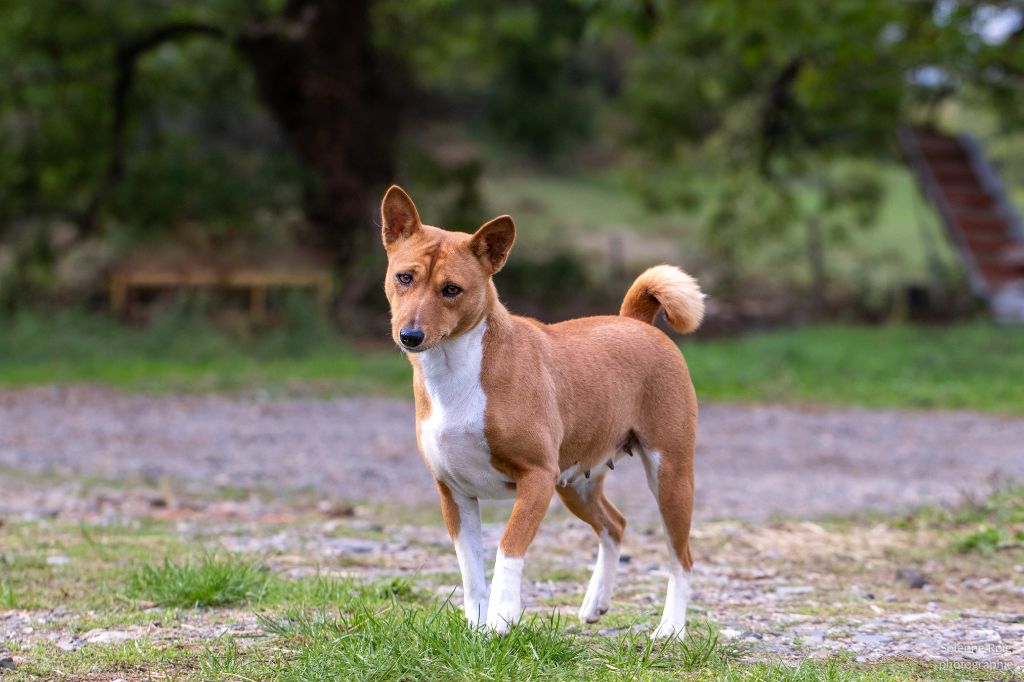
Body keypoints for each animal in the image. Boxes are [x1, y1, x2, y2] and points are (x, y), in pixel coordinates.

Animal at [380, 183, 708, 634]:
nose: (410, 335)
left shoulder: (535, 477)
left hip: (669, 475)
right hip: (575, 482)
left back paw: (670, 629)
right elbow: (471, 571)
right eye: (405, 277)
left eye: (451, 289)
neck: (455, 376)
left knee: (682, 559)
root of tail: (636, 322)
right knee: (615, 526)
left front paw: (501, 620)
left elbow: (507, 550)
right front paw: (476, 629)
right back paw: (595, 603)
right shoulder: (454, 492)